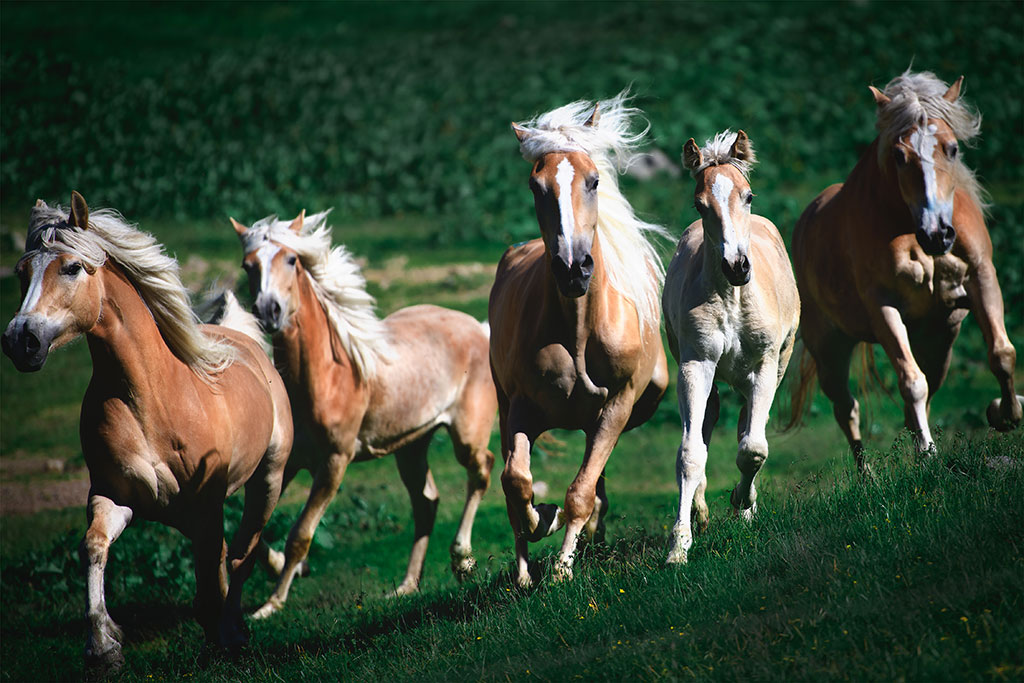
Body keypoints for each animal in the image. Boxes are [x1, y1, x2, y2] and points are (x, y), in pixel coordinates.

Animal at [2, 192, 294, 667]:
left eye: (71, 267)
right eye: (22, 272)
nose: (20, 340)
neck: (149, 398)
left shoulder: (207, 504)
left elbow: (215, 578)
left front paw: (224, 635)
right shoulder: (114, 494)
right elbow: (93, 545)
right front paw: (103, 645)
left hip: (267, 479)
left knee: (241, 554)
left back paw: (237, 624)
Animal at [227, 206, 495, 614]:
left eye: (291, 259)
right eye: (248, 265)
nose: (268, 312)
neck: (326, 377)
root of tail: (478, 328)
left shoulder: (334, 462)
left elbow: (300, 534)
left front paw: (271, 605)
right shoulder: (286, 463)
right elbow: (252, 531)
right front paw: (277, 568)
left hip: (466, 436)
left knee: (481, 472)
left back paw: (462, 560)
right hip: (411, 446)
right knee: (426, 502)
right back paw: (406, 586)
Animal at [489, 92, 667, 589]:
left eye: (594, 180)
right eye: (536, 187)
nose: (573, 268)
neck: (580, 332)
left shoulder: (617, 406)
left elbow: (581, 492)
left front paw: (563, 570)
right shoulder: (521, 408)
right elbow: (517, 483)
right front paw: (543, 523)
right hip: (505, 406)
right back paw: (525, 572)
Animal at [663, 131, 798, 565]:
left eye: (748, 195)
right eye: (699, 204)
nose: (737, 266)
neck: (732, 299)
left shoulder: (764, 365)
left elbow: (753, 448)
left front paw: (743, 501)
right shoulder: (695, 364)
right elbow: (690, 453)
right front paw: (679, 545)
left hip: (776, 366)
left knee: (746, 426)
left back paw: (745, 509)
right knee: (708, 423)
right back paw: (701, 510)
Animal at [786, 69, 1019, 466]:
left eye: (952, 148)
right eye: (898, 154)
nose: (938, 233)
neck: (907, 227)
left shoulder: (981, 277)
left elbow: (1001, 354)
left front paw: (1006, 414)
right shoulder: (883, 305)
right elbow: (911, 382)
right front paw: (928, 452)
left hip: (938, 336)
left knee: (927, 383)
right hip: (829, 347)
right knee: (847, 408)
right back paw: (867, 473)